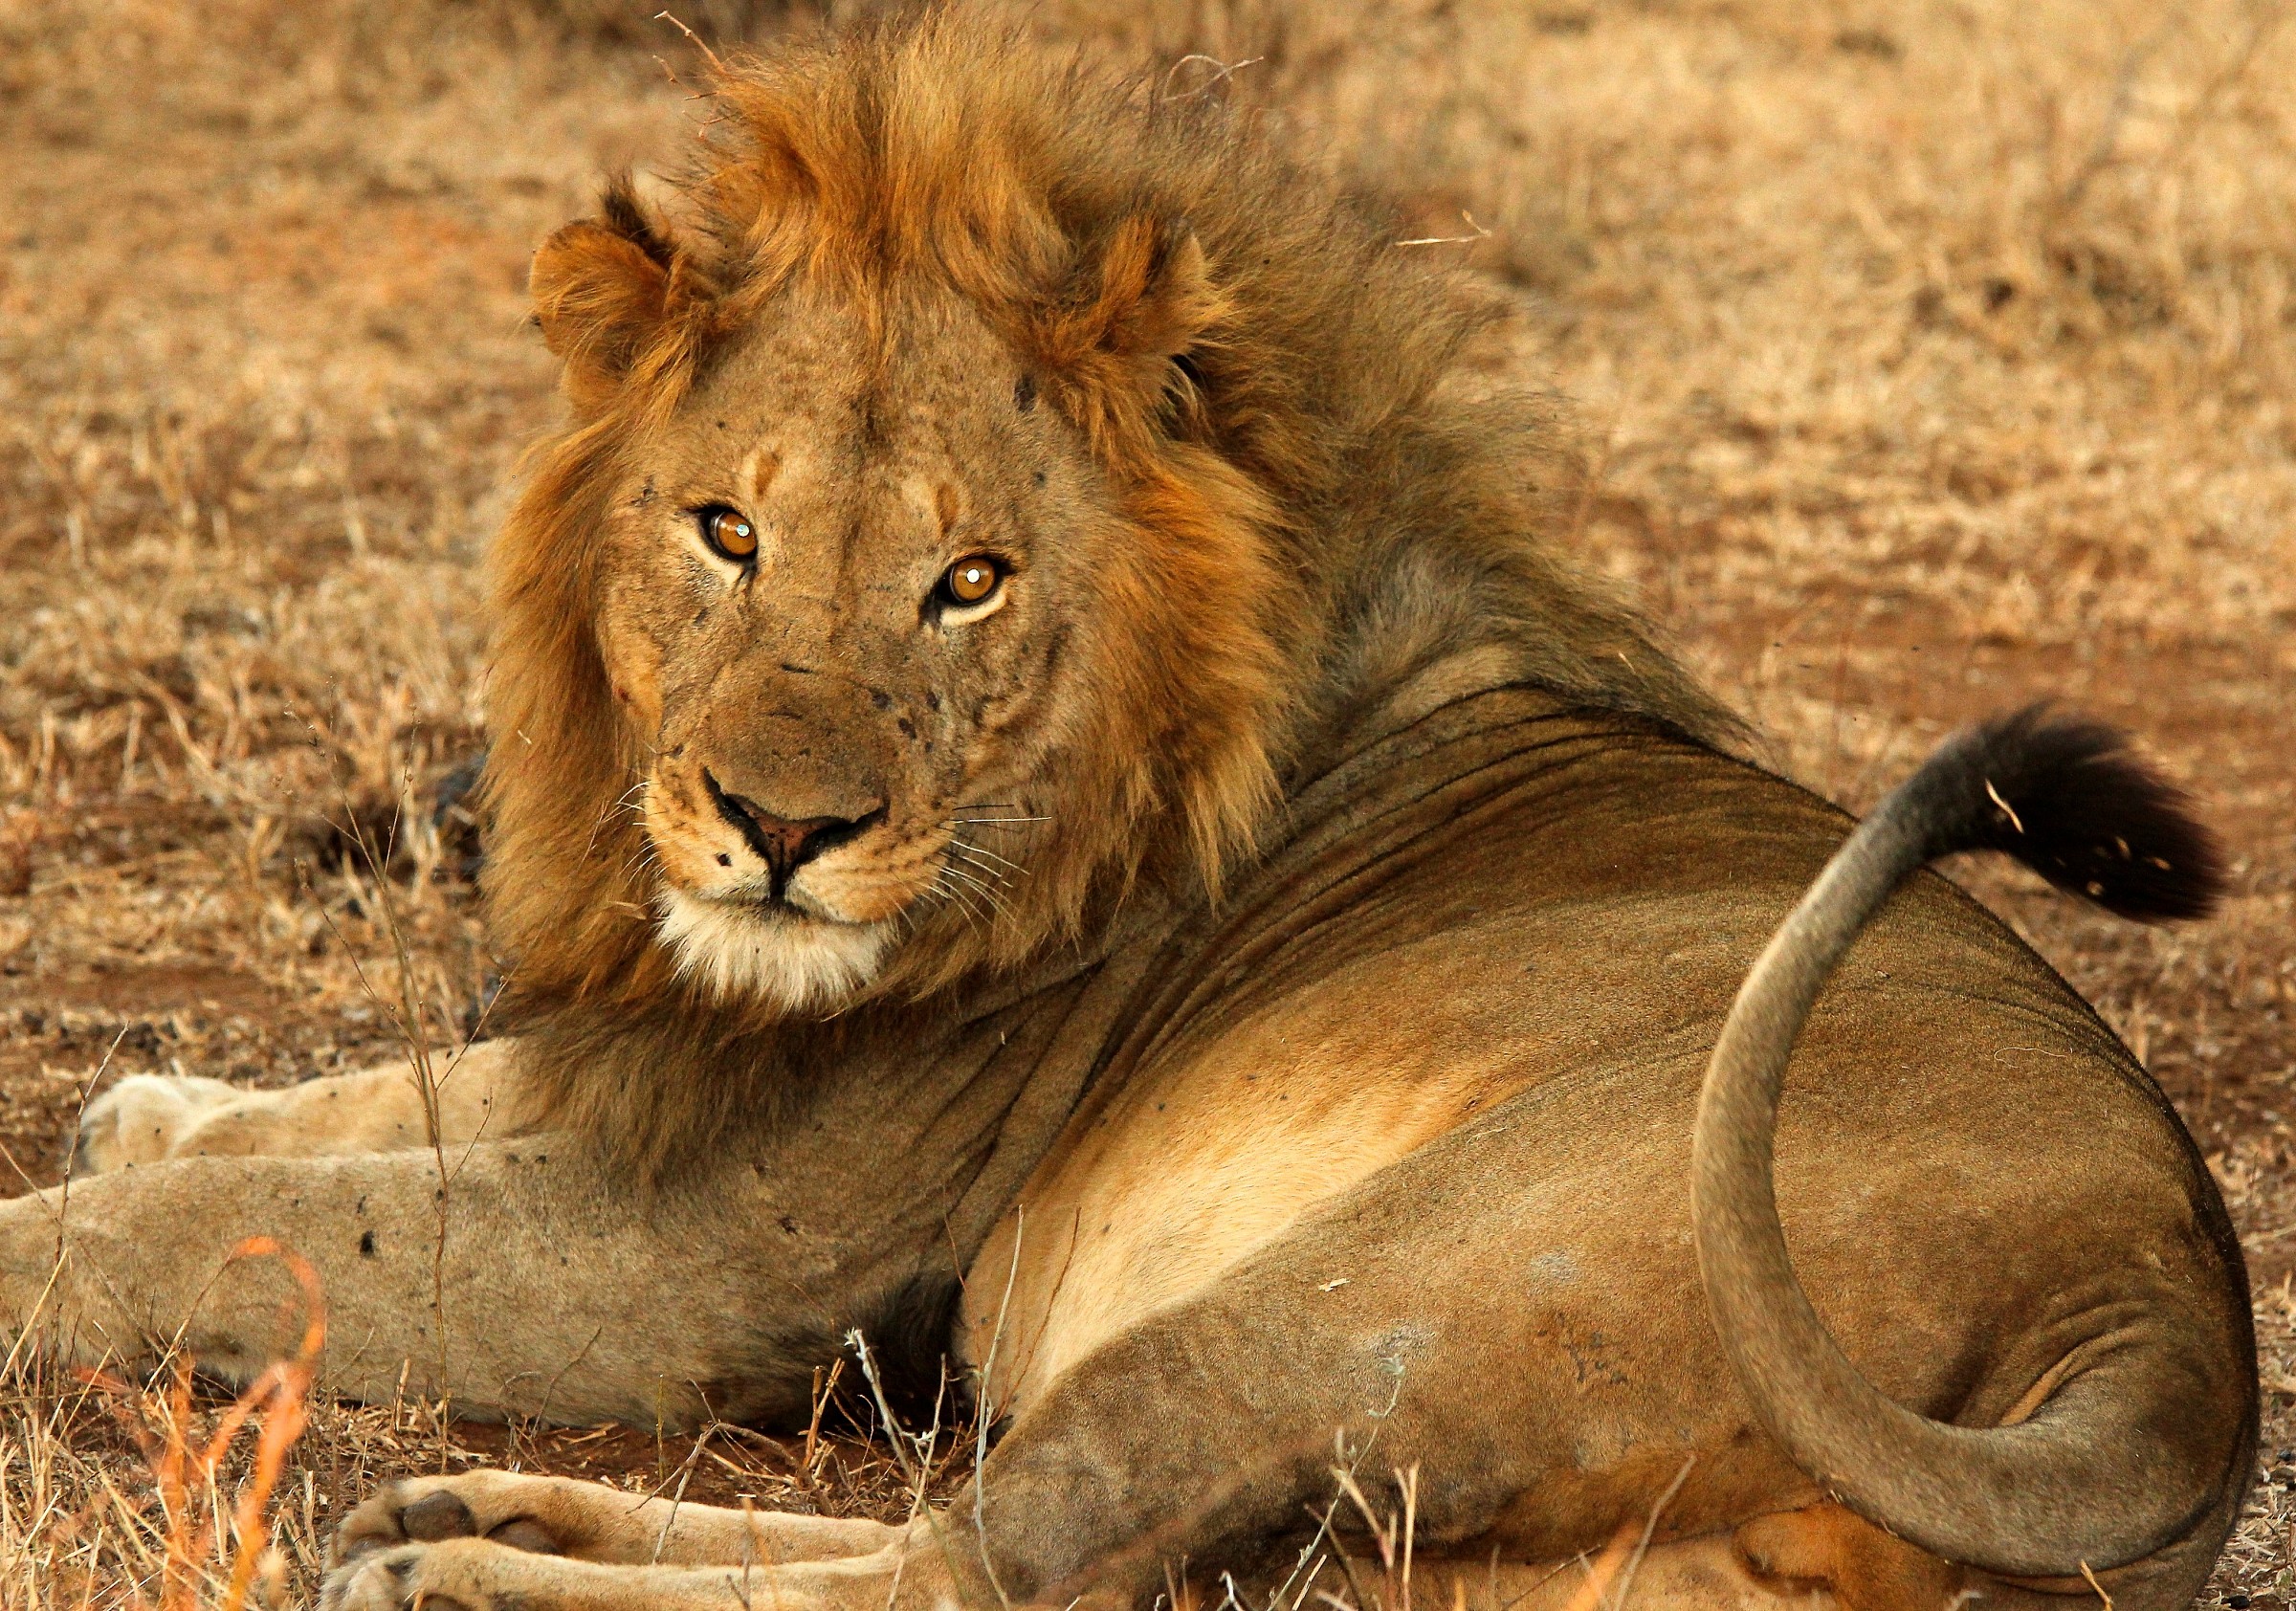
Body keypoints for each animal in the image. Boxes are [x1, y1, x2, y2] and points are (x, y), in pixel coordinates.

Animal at [1, 12, 2253, 1611]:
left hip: (1355, 1304)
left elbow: (242, 1225)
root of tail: (2170, 1317)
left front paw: (92, 1195)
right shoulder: (671, 1067)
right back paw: (466, 1513)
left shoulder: (719, 1251)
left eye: (970, 580)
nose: (778, 829)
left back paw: (464, 1567)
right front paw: (154, 1103)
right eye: (726, 530)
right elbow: (371, 1099)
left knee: (981, 1572)